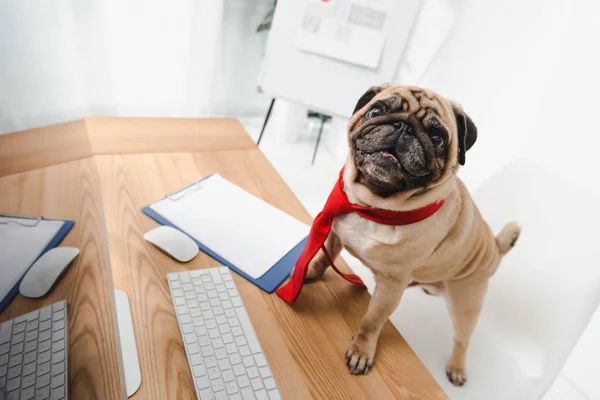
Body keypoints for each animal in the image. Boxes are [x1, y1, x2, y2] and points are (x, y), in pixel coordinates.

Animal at [304, 83, 520, 384]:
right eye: (376, 111)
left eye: (438, 138)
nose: (403, 127)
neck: (374, 207)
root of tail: (496, 248)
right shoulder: (337, 233)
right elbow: (325, 257)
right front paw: (311, 271)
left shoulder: (391, 286)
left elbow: (371, 321)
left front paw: (361, 351)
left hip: (466, 301)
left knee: (462, 339)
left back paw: (457, 367)